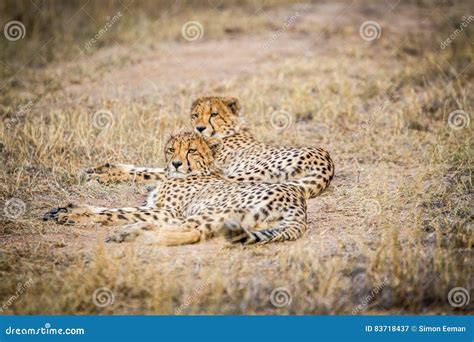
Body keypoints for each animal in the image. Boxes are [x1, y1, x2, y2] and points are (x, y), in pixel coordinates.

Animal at [43, 132, 308, 246]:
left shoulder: (166, 211)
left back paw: (132, 234)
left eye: (191, 150)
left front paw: (71, 215)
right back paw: (134, 231)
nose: (176, 163)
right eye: (171, 149)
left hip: (210, 211)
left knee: (193, 233)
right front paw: (66, 209)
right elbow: (115, 209)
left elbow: (116, 212)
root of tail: (298, 201)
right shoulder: (157, 207)